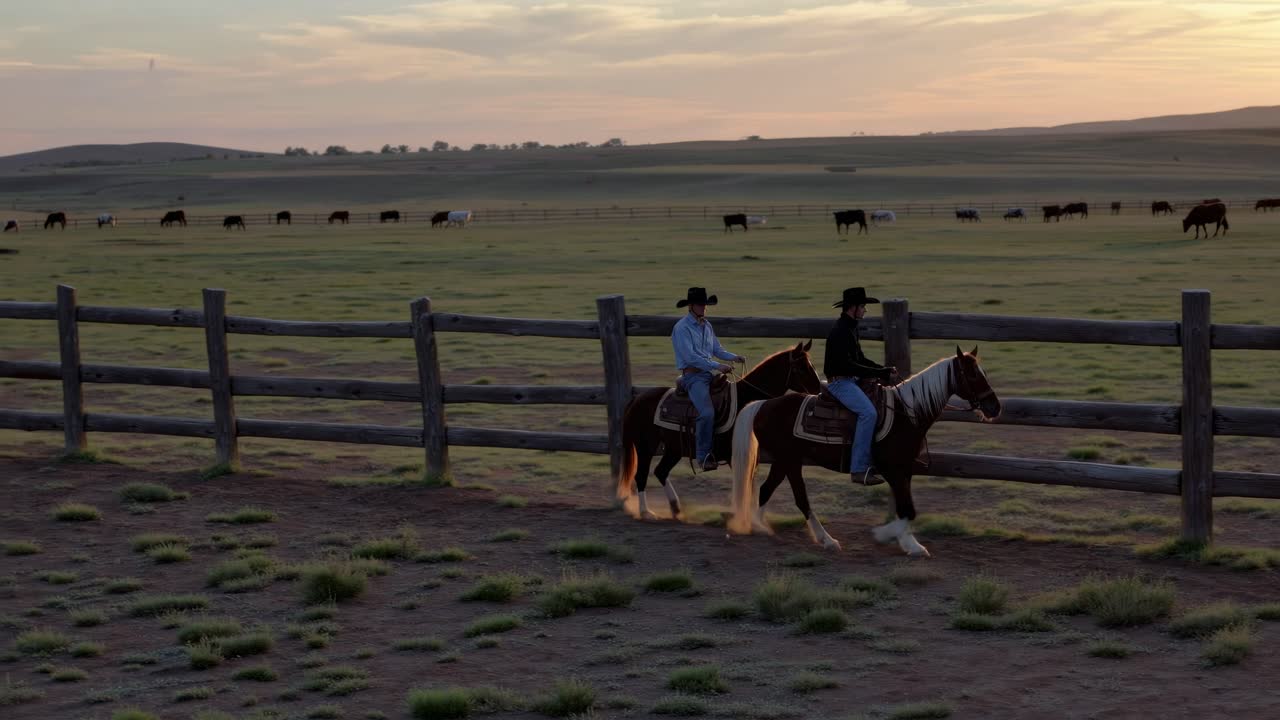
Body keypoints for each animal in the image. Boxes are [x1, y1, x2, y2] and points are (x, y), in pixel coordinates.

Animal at [614, 341, 822, 520]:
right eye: (801, 367)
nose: (819, 391)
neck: (746, 400)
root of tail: (636, 399)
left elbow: (750, 484)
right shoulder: (734, 455)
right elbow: (745, 484)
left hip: (674, 450)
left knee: (660, 472)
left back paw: (675, 507)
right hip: (645, 447)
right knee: (641, 475)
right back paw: (646, 512)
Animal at [730, 348, 1000, 555]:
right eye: (971, 374)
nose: (994, 407)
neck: (906, 413)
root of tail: (763, 404)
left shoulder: (904, 471)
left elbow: (906, 507)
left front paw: (907, 542)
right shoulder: (892, 470)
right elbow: (907, 510)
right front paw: (889, 536)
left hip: (785, 460)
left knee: (767, 489)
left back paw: (761, 527)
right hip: (790, 460)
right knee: (799, 498)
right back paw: (827, 539)